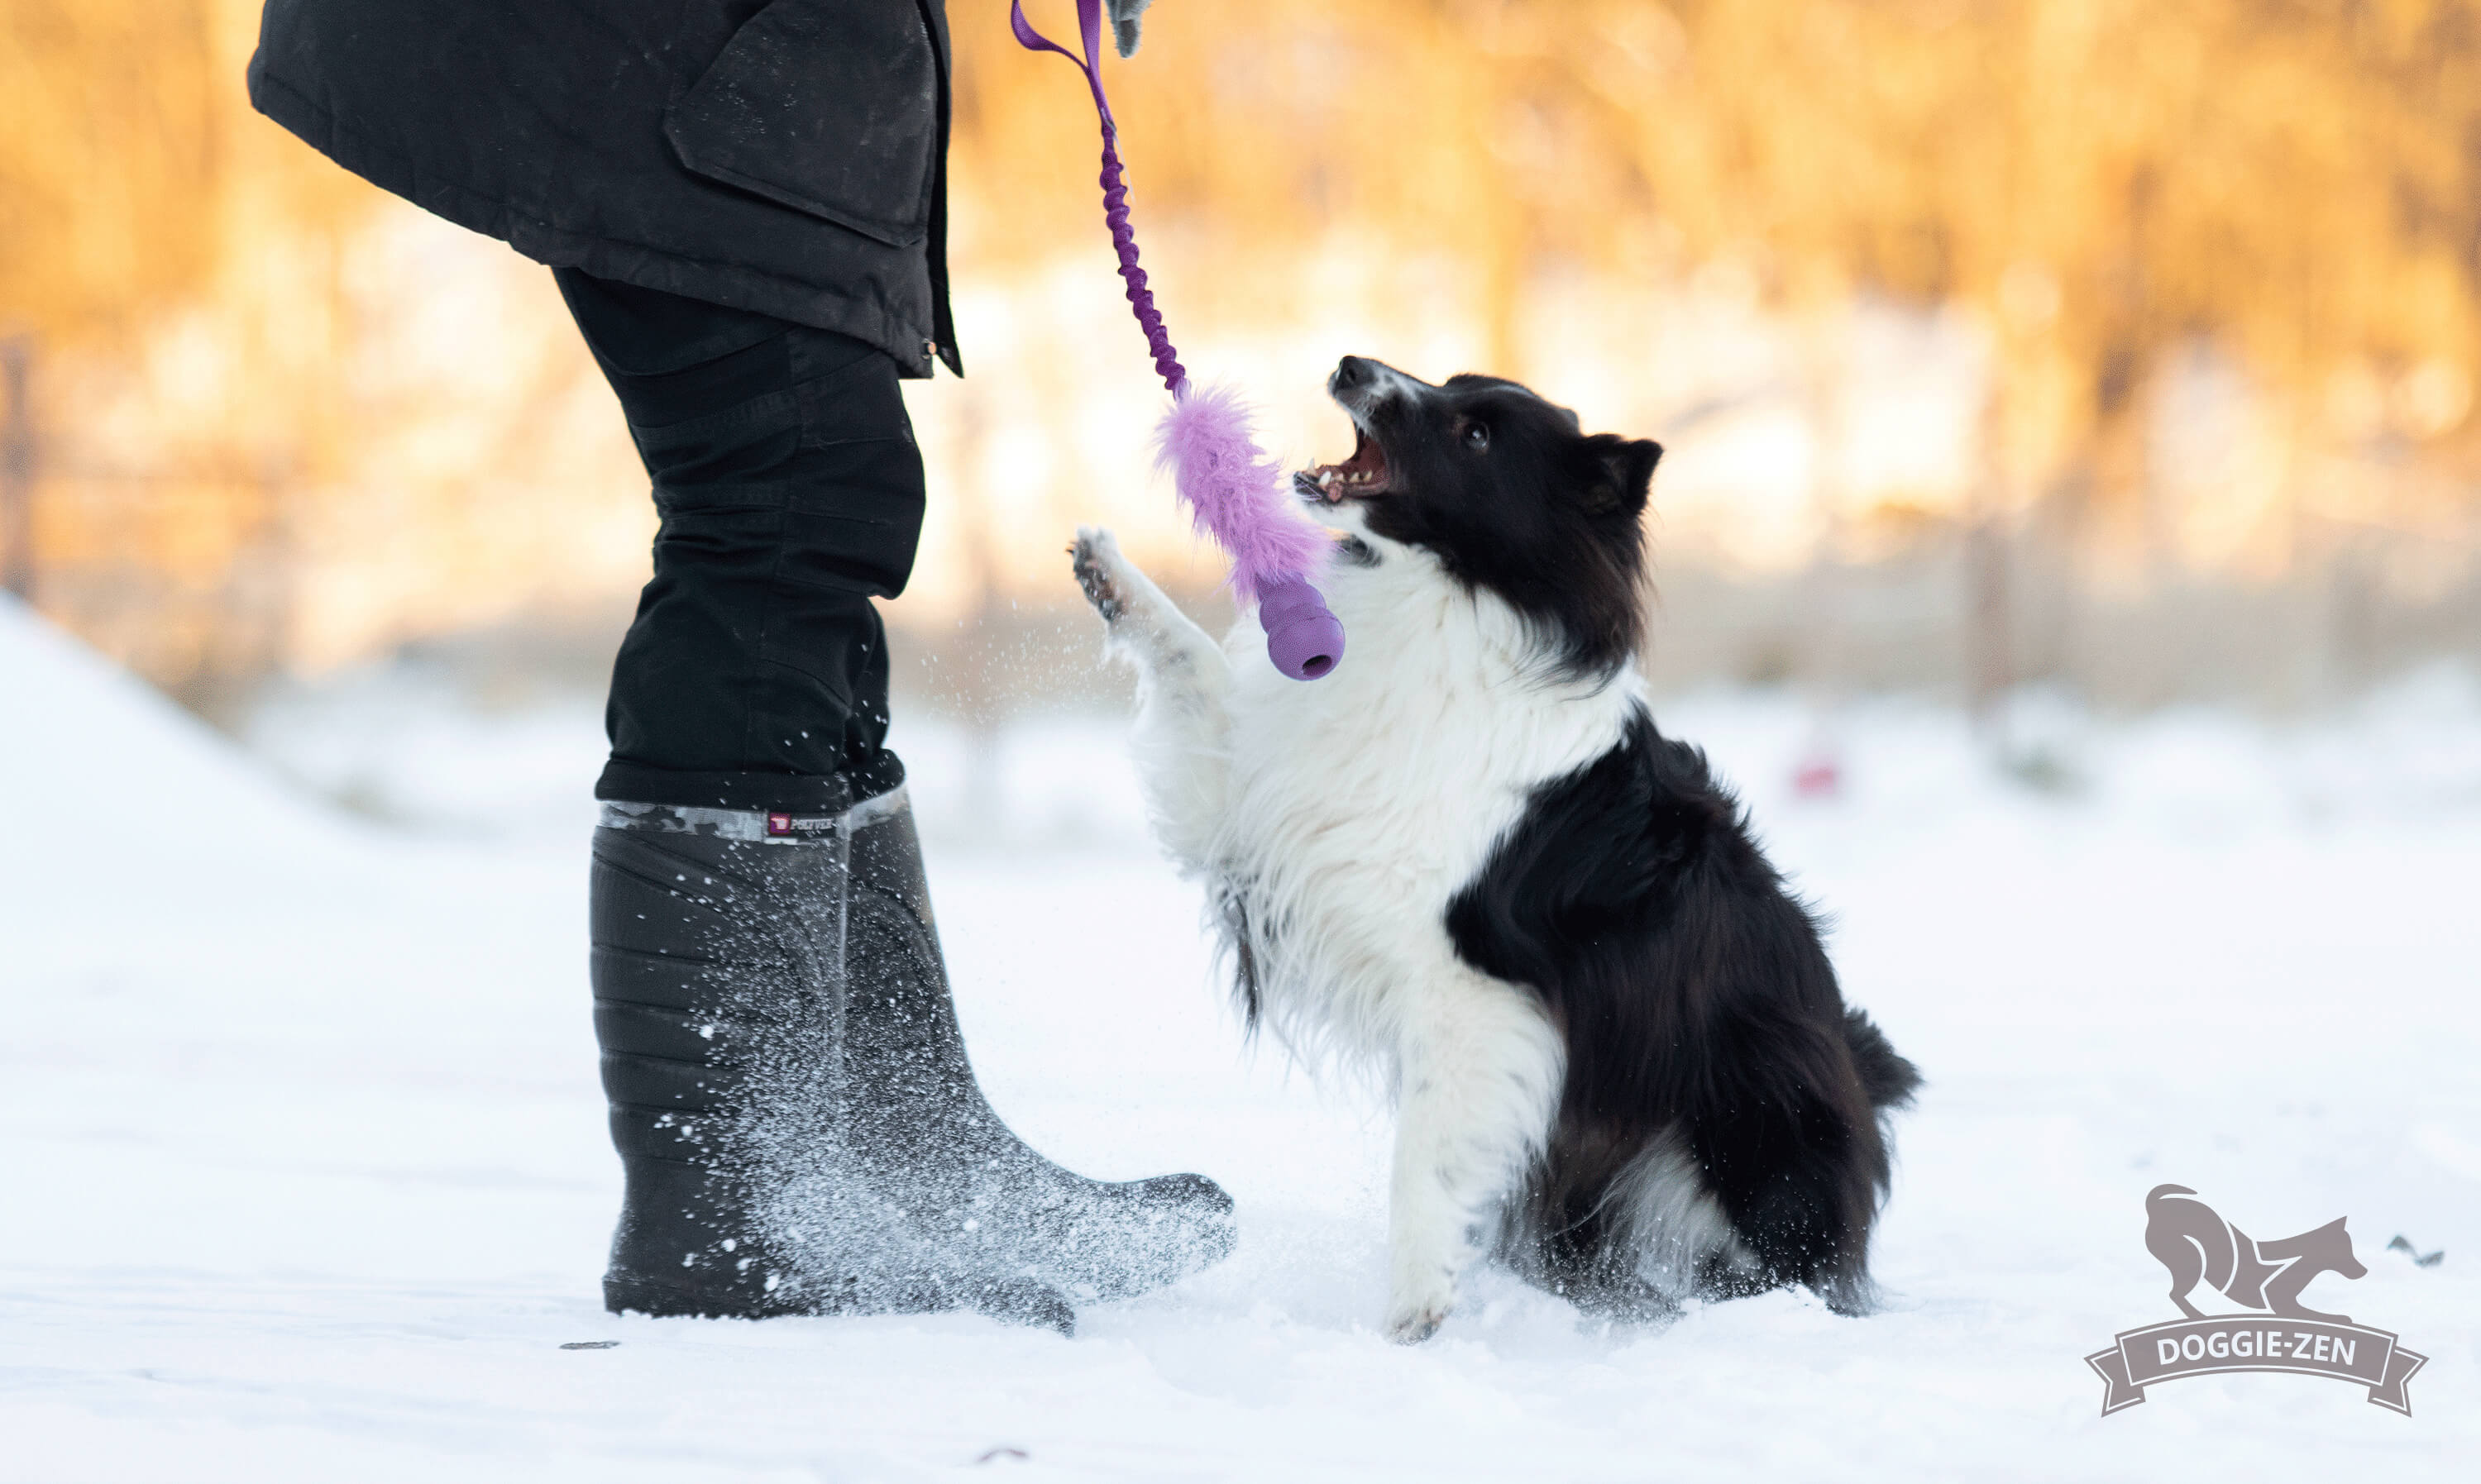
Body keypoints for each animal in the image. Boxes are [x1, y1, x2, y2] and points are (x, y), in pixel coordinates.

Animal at [1067, 355, 1915, 1339]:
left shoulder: (1475, 989)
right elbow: (1192, 663)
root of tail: (1860, 1061)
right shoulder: (1251, 807)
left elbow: (1421, 1162)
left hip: (1749, 1140)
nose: (1351, 364)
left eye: (1476, 435)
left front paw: (1414, 1314)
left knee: (1782, 1267)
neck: (1447, 601)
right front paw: (1110, 573)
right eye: (1448, 381)